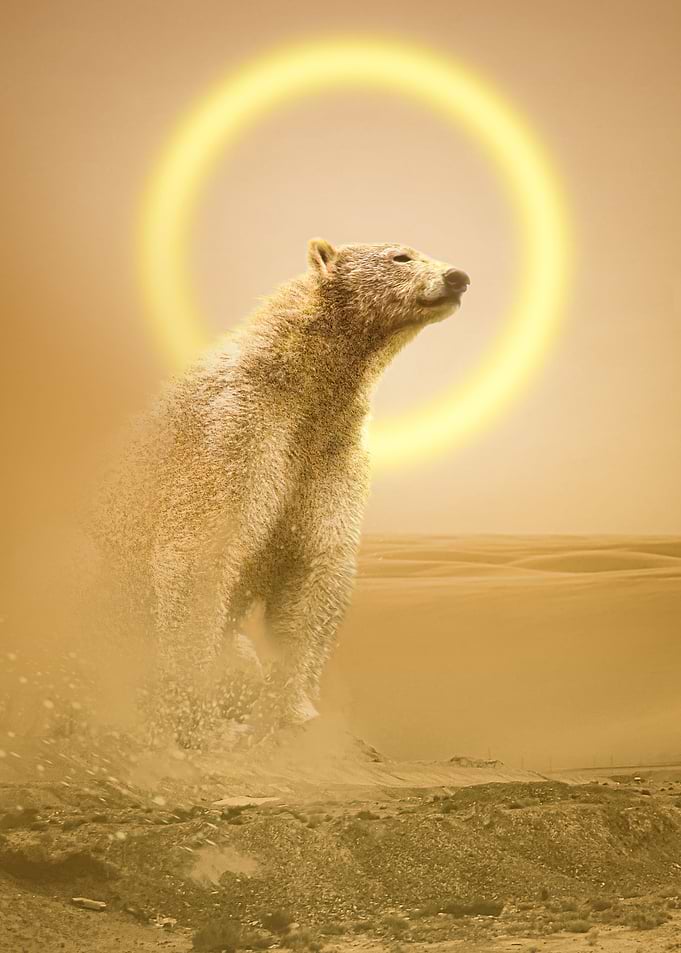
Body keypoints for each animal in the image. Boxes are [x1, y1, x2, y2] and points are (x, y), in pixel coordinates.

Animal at [93, 239, 469, 743]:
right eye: (402, 257)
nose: (458, 277)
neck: (299, 385)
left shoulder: (332, 453)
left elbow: (314, 564)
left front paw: (294, 711)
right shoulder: (235, 432)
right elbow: (199, 551)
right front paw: (197, 716)